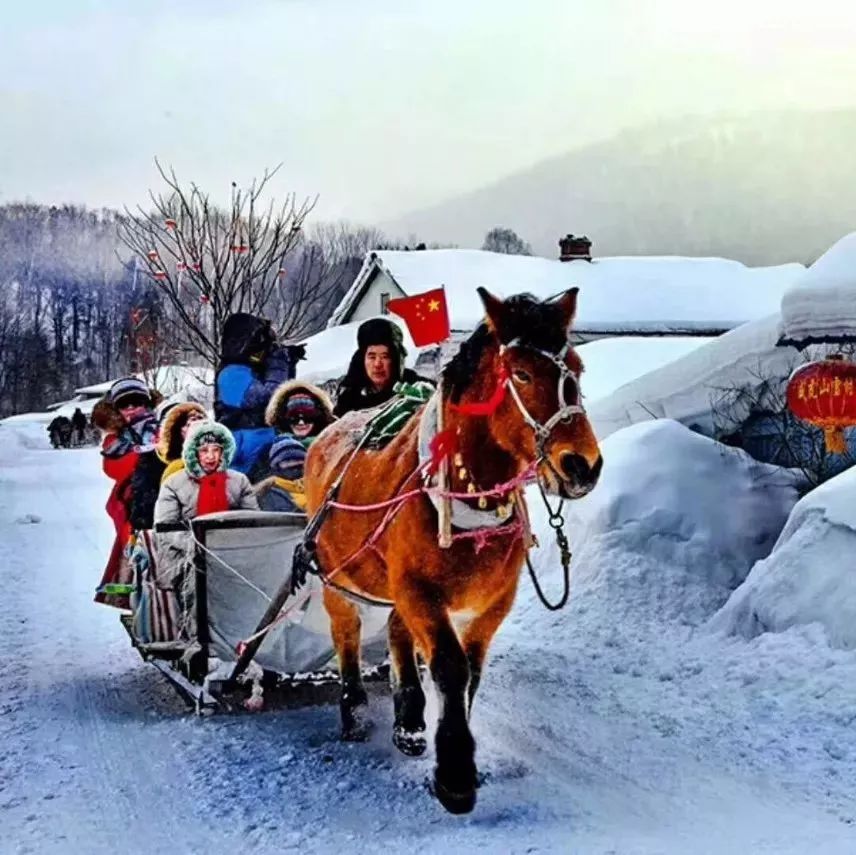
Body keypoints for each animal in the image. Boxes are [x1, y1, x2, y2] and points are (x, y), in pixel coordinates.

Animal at [304, 288, 600, 816]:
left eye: (577, 369)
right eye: (521, 374)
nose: (581, 464)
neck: (465, 495)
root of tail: (328, 432)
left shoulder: (493, 600)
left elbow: (471, 670)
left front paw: (440, 738)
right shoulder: (418, 590)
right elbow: (449, 666)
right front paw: (455, 772)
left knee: (396, 630)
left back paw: (408, 718)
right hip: (335, 574)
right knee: (347, 631)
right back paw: (354, 708)